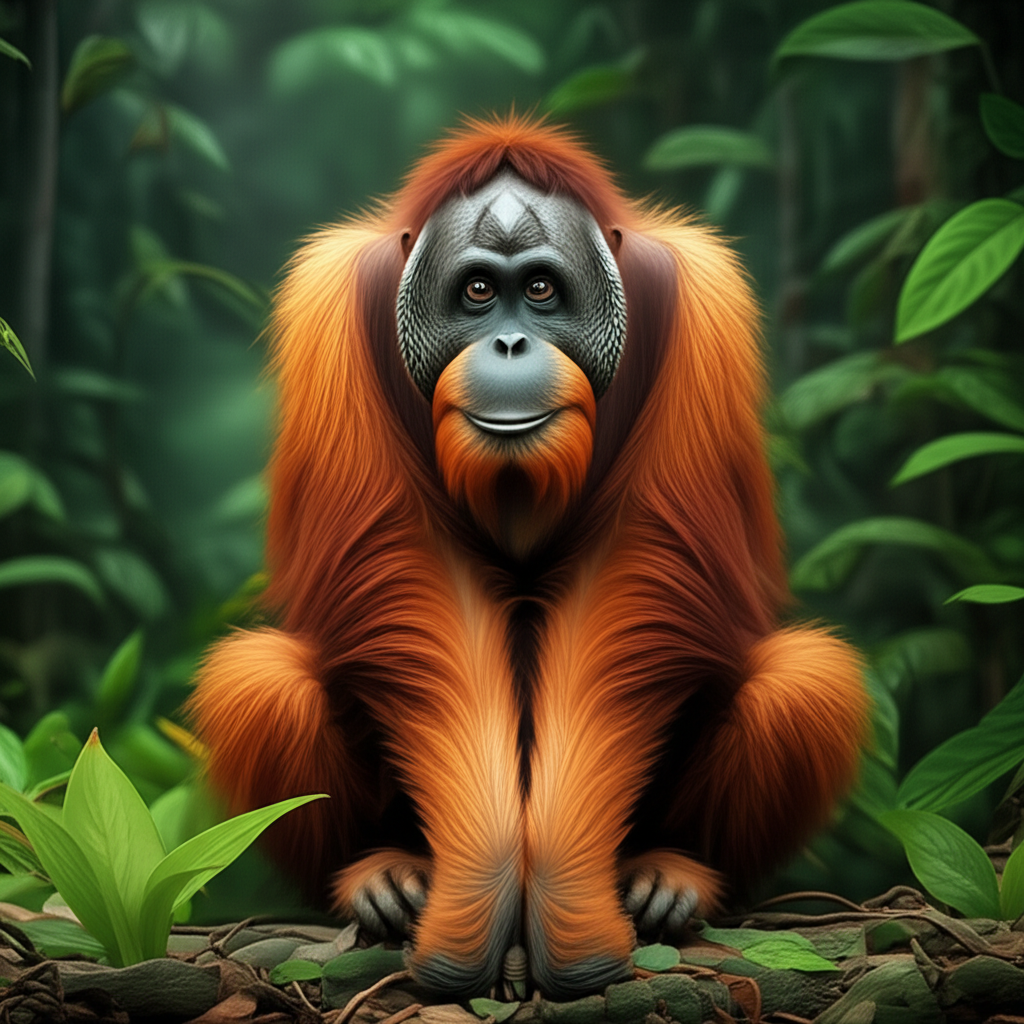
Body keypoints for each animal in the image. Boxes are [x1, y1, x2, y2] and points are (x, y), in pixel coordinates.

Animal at [189, 115, 867, 1000]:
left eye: (541, 291)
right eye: (479, 292)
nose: (510, 343)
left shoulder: (702, 302)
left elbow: (640, 559)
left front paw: (566, 908)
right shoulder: (329, 303)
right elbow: (405, 558)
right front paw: (472, 904)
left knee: (802, 683)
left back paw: (674, 873)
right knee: (259, 680)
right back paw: (380, 873)